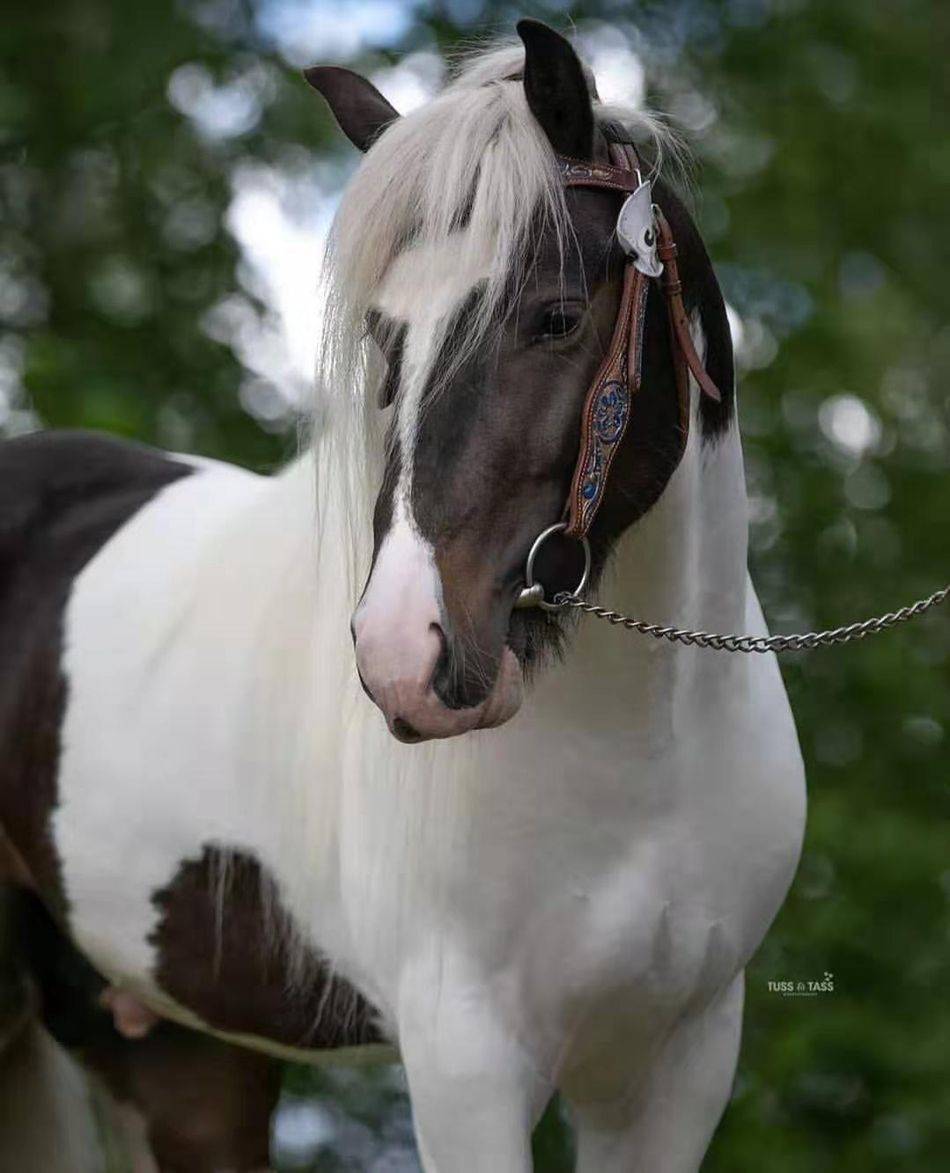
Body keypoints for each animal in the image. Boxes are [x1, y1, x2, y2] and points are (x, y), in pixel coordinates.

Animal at [0, 20, 806, 1172]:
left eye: (557, 317)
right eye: (383, 341)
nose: (401, 654)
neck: (638, 756)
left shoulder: (672, 1070)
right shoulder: (465, 1059)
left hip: (182, 1058)